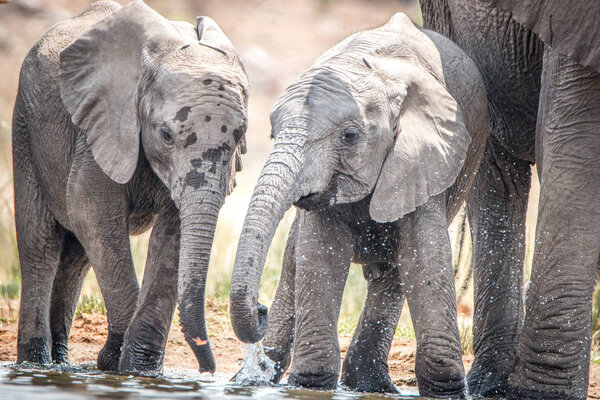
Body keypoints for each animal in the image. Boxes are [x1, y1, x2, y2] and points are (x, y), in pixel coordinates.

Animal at [14, 0, 248, 376]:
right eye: (166, 135)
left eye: (240, 137)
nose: (209, 372)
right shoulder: (104, 124)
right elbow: (90, 210)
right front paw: (120, 365)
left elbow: (172, 237)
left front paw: (139, 369)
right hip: (26, 127)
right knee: (40, 243)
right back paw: (35, 364)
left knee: (76, 254)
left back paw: (61, 363)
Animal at [230, 11, 488, 396]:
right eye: (273, 135)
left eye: (350, 137)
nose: (257, 308)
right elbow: (320, 256)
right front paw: (311, 385)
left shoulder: (426, 160)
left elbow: (424, 258)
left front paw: (446, 391)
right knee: (294, 261)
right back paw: (255, 378)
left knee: (394, 271)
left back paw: (368, 384)